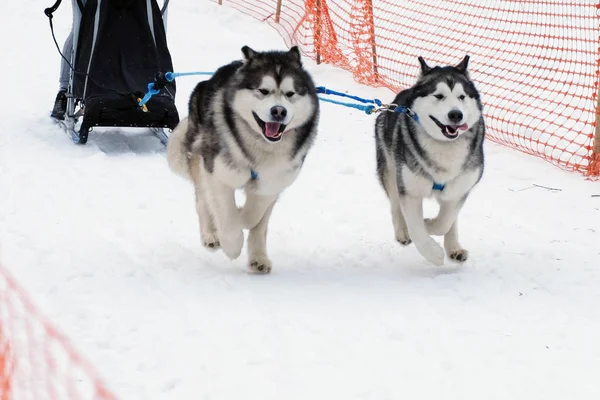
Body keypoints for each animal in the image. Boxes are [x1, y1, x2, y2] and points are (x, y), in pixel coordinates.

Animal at [166, 45, 318, 274]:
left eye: (290, 94)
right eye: (263, 91)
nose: (279, 111)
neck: (260, 149)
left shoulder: (273, 182)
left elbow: (254, 215)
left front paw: (242, 216)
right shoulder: (219, 175)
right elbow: (227, 216)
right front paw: (232, 244)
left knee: (259, 226)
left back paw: (258, 258)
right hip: (202, 158)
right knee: (203, 200)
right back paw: (211, 234)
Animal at [378, 54, 486, 264]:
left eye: (461, 96)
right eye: (438, 96)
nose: (456, 114)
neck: (445, 146)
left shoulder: (459, 189)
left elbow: (445, 221)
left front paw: (429, 224)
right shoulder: (410, 191)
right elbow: (416, 227)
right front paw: (433, 252)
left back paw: (454, 247)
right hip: (390, 169)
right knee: (395, 204)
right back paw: (402, 231)